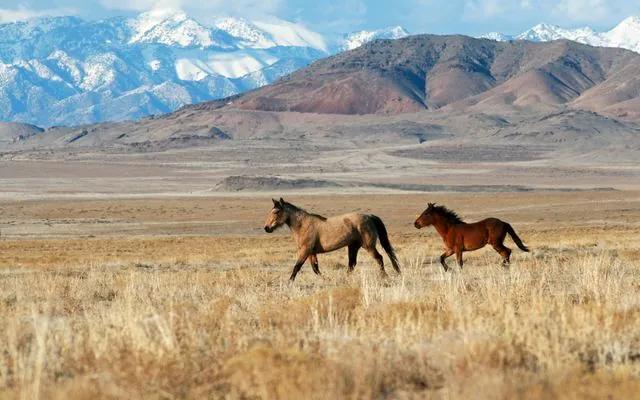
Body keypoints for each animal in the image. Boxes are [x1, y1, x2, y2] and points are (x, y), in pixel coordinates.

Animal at [264, 198, 401, 281]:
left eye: (276, 212)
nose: (266, 228)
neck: (303, 225)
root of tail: (370, 216)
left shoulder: (305, 251)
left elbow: (297, 267)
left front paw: (289, 282)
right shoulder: (311, 253)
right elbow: (315, 269)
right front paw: (326, 279)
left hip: (368, 246)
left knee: (379, 258)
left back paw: (384, 276)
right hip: (353, 246)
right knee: (352, 264)